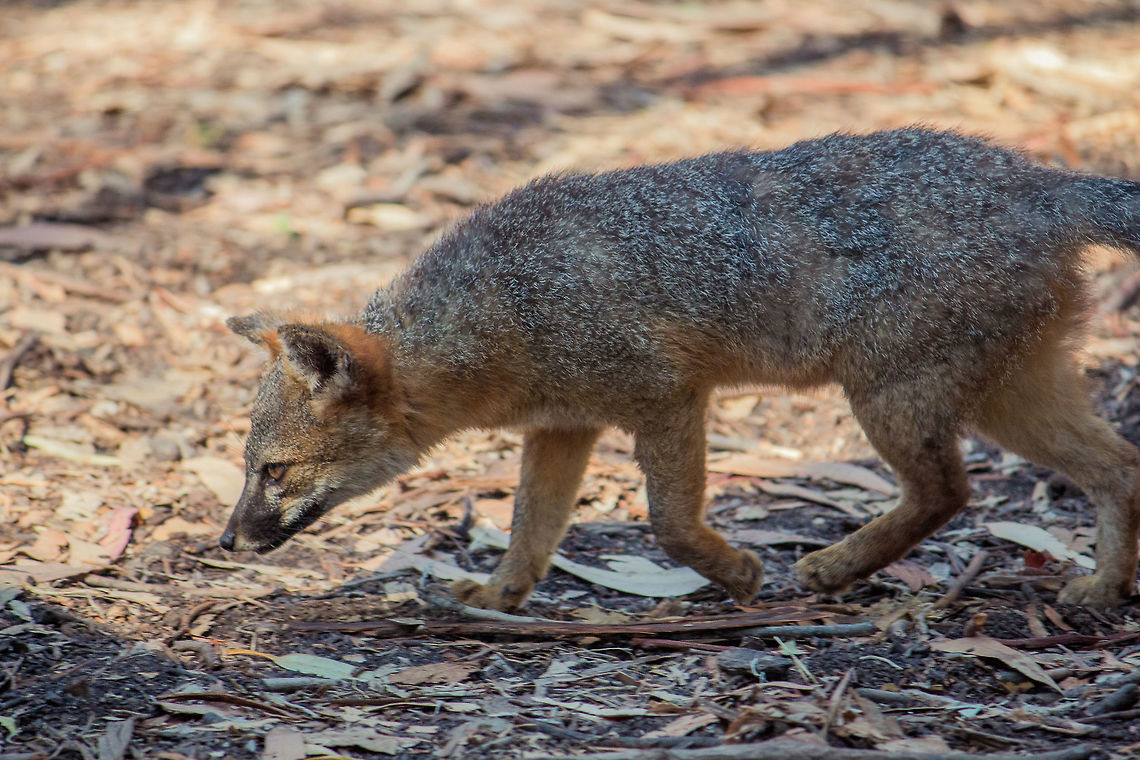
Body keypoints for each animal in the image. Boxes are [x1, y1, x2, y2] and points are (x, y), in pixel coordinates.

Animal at [219, 127, 1140, 611]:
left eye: (275, 471)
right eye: (249, 468)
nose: (226, 541)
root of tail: (1042, 181)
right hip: (1005, 395)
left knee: (949, 491)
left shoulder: (666, 397)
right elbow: (530, 528)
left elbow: (666, 522)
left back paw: (831, 566)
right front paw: (498, 597)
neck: (503, 306)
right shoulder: (564, 427)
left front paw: (734, 572)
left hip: (894, 399)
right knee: (1118, 469)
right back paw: (1105, 588)